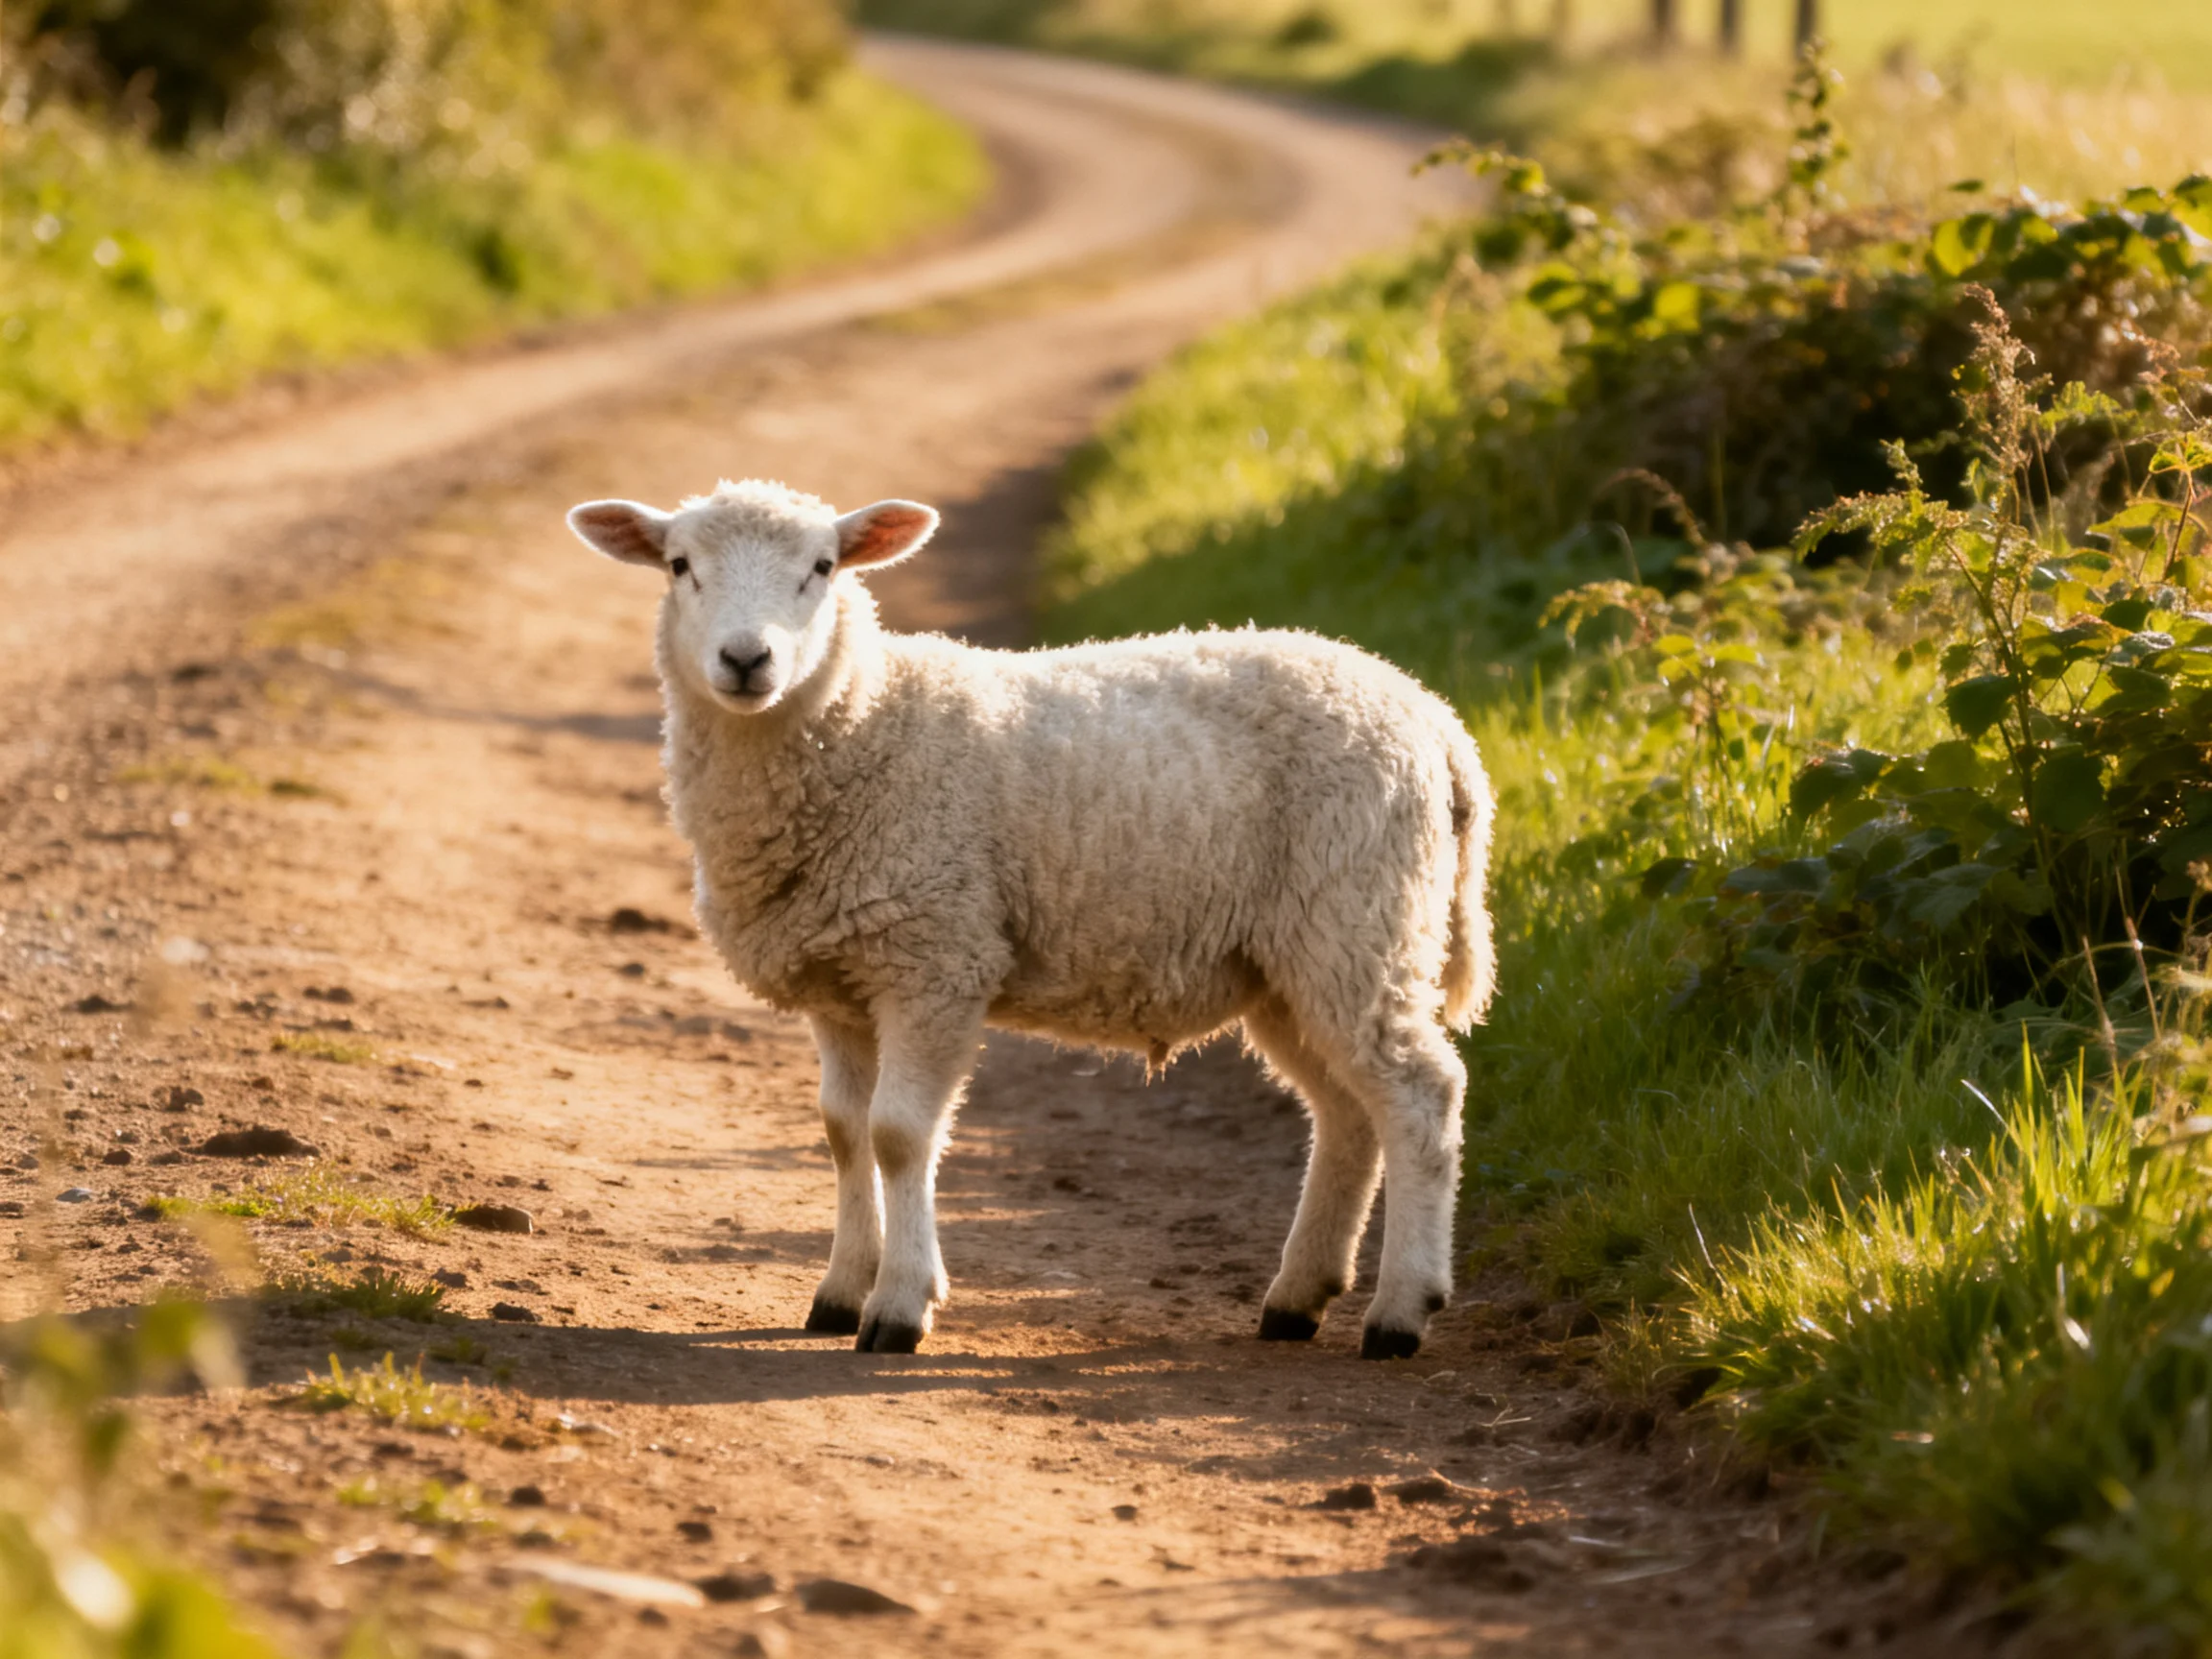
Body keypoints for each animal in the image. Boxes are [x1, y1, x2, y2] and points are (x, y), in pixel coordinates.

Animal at [566, 478, 1494, 1358]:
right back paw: (1297, 1299)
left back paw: (1400, 1312)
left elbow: (899, 1135)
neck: (864, 726)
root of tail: (1437, 722)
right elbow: (842, 1133)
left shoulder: (935, 957)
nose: (746, 659)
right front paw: (838, 1293)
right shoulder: (842, 979)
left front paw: (898, 1307)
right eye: (680, 566)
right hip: (1291, 959)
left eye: (823, 568)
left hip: (1359, 917)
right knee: (1346, 1114)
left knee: (1421, 1096)